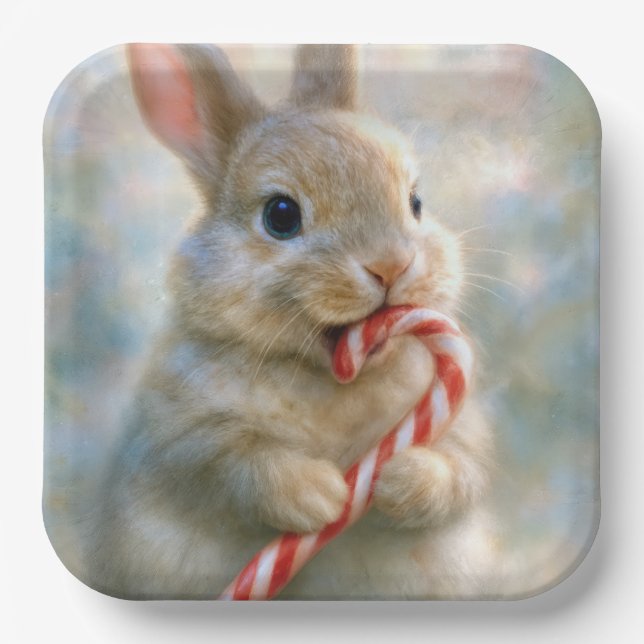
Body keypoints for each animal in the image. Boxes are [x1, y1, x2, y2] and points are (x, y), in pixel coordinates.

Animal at [88, 43, 496, 600]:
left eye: (415, 202)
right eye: (280, 215)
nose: (391, 265)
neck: (331, 377)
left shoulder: (458, 426)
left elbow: (462, 471)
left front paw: (397, 481)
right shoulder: (178, 436)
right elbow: (234, 463)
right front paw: (319, 496)